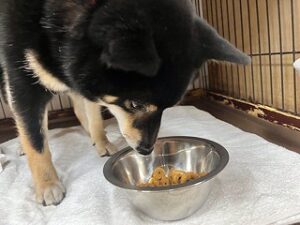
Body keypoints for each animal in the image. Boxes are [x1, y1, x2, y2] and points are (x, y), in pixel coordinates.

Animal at [0, 0, 248, 207]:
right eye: (136, 104)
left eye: (169, 107)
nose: (147, 149)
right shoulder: (23, 82)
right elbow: (35, 140)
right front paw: (47, 184)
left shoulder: (85, 79)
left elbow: (94, 113)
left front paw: (101, 140)